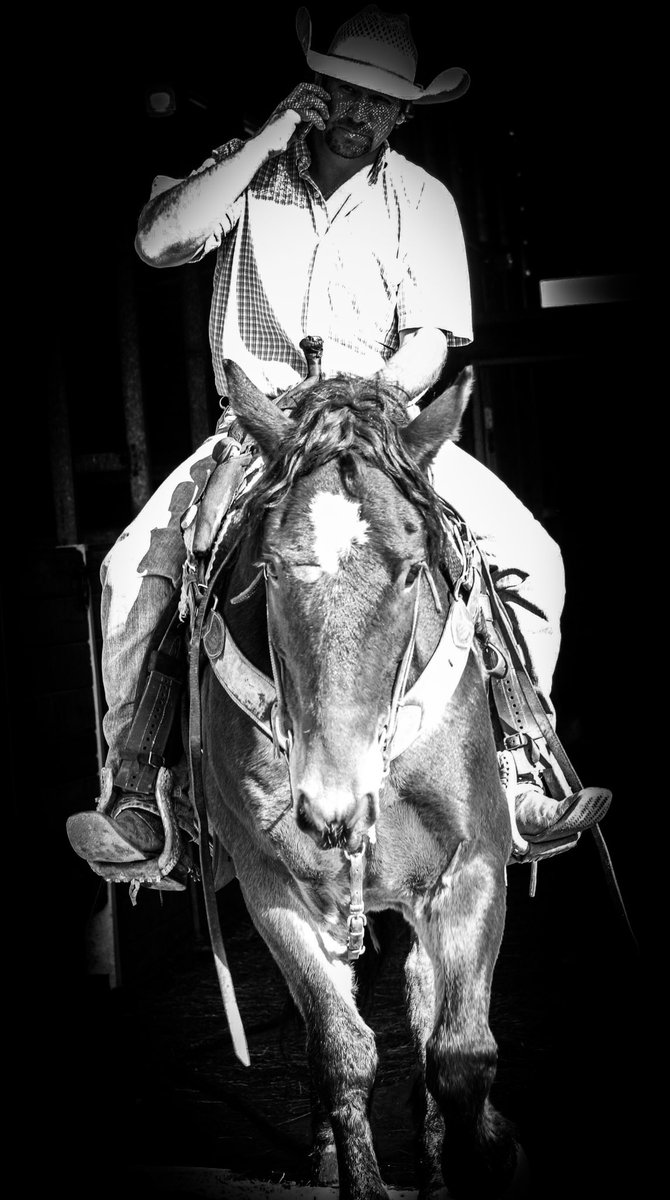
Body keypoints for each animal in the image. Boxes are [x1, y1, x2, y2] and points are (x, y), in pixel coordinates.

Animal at [194, 361, 524, 1200]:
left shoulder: (471, 868)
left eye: (410, 571)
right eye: (271, 568)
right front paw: (361, 1180)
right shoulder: (272, 884)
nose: (330, 802)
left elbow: (459, 1056)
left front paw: (491, 1152)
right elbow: (341, 1050)